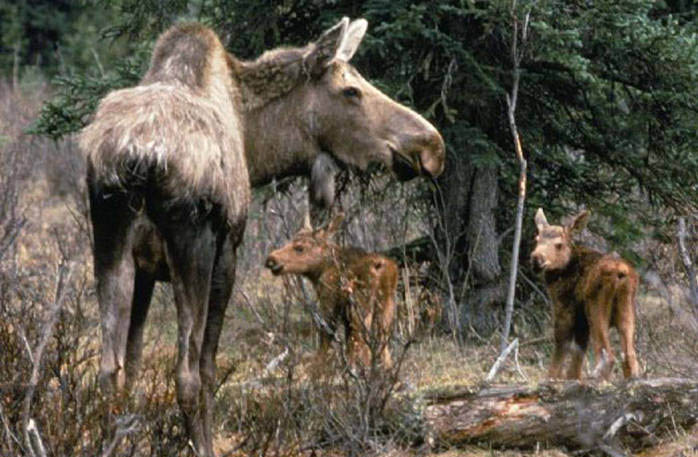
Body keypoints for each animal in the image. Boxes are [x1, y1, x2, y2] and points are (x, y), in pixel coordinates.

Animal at [265, 214, 399, 371]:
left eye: (300, 248)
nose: (271, 259)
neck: (318, 271)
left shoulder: (329, 299)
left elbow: (326, 335)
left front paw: (317, 368)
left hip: (361, 304)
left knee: (360, 338)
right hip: (386, 304)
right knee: (383, 340)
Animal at [531, 208, 640, 381]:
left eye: (559, 245)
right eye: (537, 239)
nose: (536, 259)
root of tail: (621, 273)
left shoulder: (565, 307)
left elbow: (561, 344)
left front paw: (551, 379)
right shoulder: (582, 321)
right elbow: (578, 353)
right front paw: (571, 378)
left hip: (596, 307)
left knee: (608, 356)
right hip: (626, 309)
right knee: (630, 356)